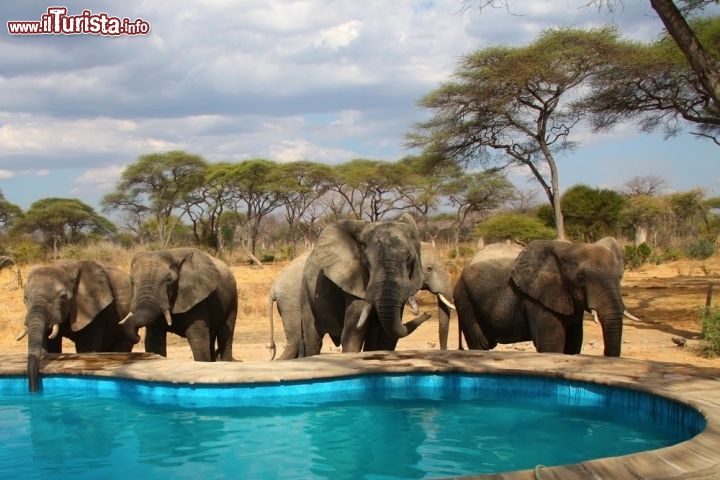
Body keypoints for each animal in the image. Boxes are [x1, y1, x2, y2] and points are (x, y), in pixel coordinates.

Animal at [19, 260, 135, 392]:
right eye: (25, 298)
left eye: (63, 297)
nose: (34, 390)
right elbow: (50, 344)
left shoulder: (93, 309)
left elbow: (86, 347)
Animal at [300, 214, 430, 356]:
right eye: (366, 263)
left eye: (409, 261)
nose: (427, 314)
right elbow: (353, 333)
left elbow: (386, 337)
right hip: (306, 293)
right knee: (313, 338)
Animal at [456, 237, 632, 356]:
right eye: (581, 279)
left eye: (619, 277)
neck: (568, 248)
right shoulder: (537, 299)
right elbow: (551, 345)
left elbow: (573, 343)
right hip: (464, 298)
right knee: (480, 343)